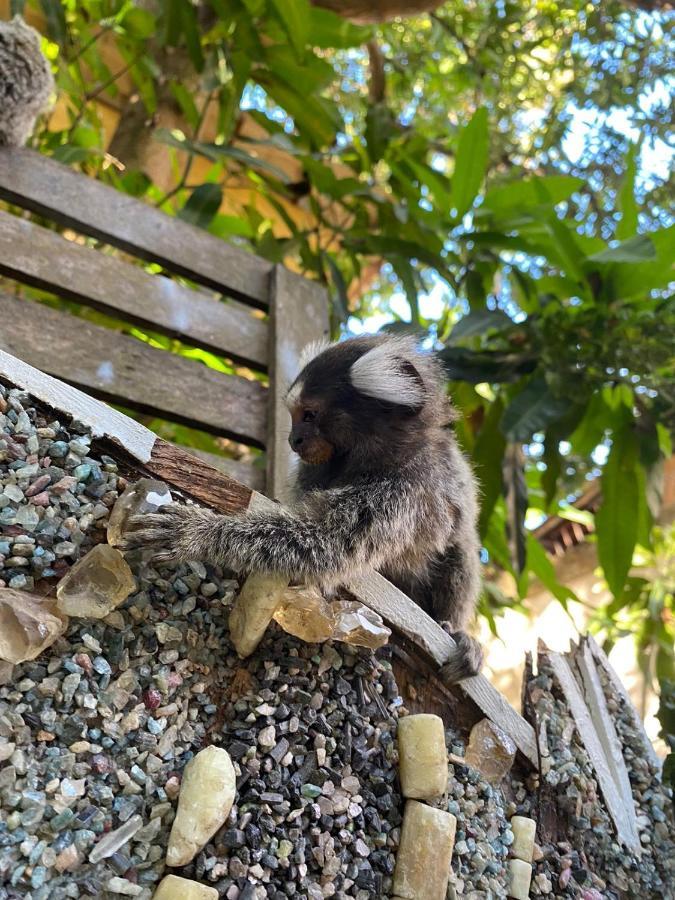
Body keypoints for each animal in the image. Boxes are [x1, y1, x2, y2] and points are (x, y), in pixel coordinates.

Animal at [124, 338, 484, 684]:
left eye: (309, 415)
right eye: (295, 417)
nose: (293, 439)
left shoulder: (406, 490)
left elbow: (323, 544)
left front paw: (195, 534)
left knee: (459, 553)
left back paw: (458, 634)